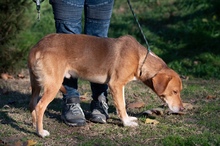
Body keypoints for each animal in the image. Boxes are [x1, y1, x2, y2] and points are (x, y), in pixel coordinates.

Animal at [27, 33, 184, 137]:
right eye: (175, 91)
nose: (182, 109)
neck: (140, 58)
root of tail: (37, 47)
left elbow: (122, 105)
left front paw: (128, 119)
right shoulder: (116, 85)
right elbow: (122, 106)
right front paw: (126, 123)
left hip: (36, 85)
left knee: (32, 104)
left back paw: (34, 125)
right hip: (53, 85)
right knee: (40, 107)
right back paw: (40, 132)